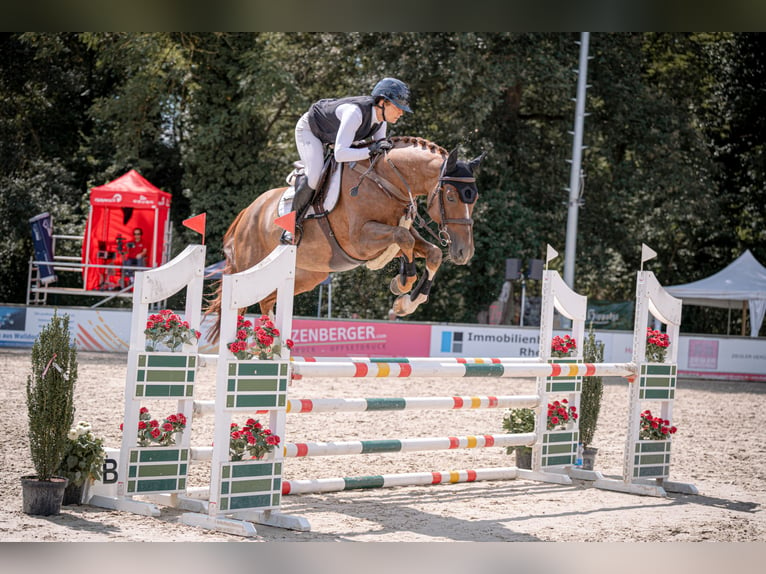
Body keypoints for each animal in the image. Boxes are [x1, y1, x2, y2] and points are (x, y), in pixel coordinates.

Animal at [206, 136, 486, 342]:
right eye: (451, 196)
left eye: (475, 198)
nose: (464, 252)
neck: (387, 182)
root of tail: (247, 212)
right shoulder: (361, 241)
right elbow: (403, 238)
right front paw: (403, 282)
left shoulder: (385, 242)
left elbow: (431, 252)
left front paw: (407, 302)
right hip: (249, 268)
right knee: (243, 305)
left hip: (307, 275)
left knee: (266, 301)